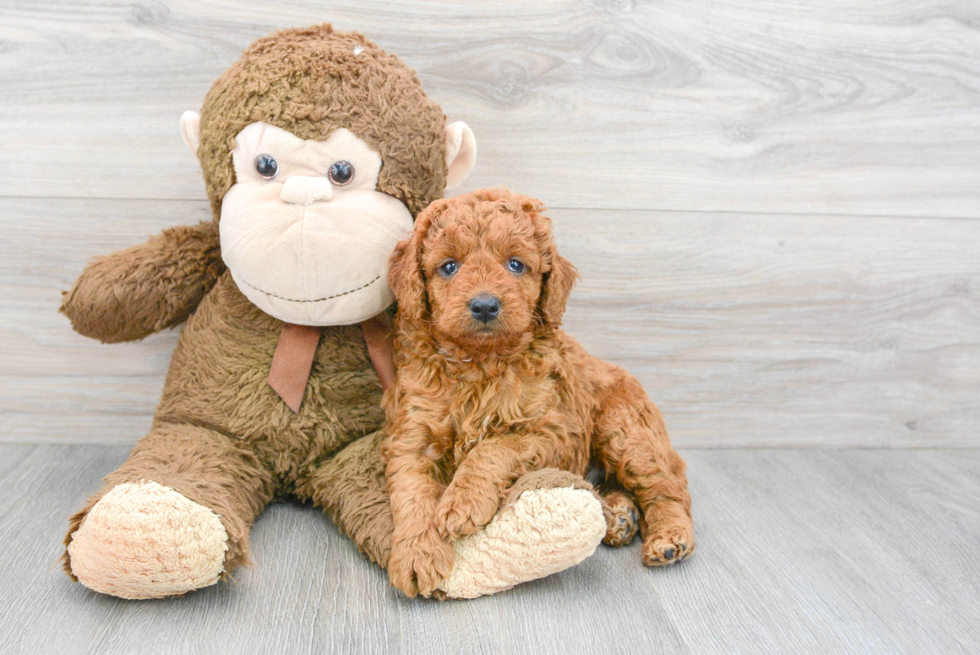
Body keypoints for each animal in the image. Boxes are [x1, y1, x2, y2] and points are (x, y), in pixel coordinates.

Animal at [378, 187, 692, 596]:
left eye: (515, 264)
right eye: (448, 267)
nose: (484, 305)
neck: (481, 363)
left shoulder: (554, 431)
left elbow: (493, 448)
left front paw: (462, 503)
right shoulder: (413, 433)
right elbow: (412, 493)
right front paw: (417, 556)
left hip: (625, 430)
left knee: (668, 485)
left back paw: (669, 537)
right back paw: (618, 516)